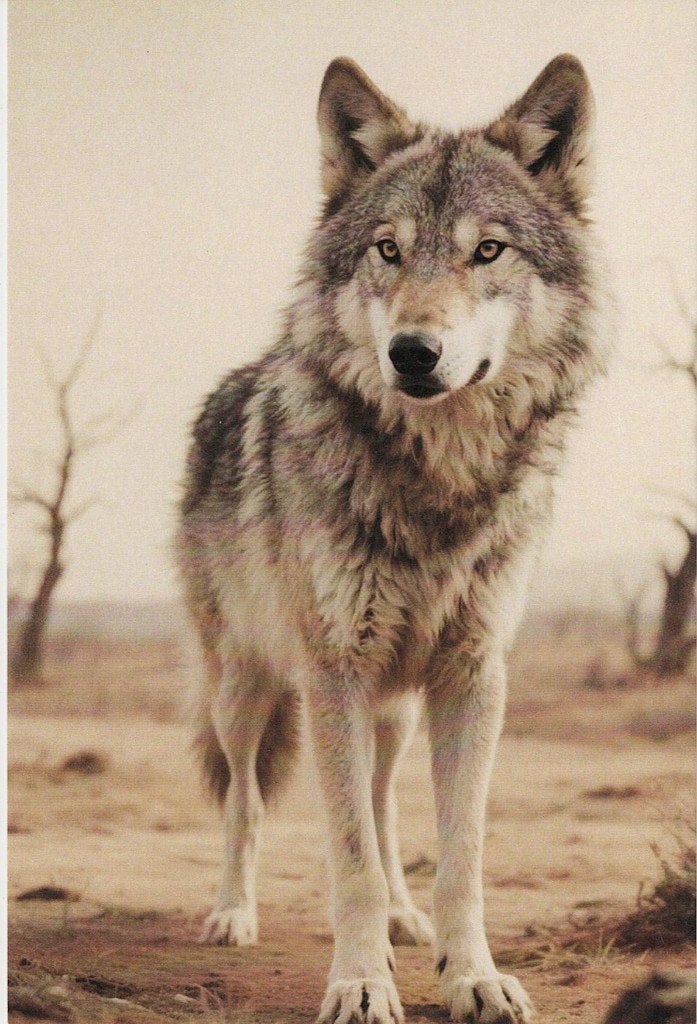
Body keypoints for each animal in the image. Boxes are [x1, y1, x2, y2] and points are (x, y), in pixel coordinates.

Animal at [176, 54, 609, 1024]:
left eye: (487, 250)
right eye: (386, 249)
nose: (413, 352)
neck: (436, 485)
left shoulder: (473, 674)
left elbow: (457, 853)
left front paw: (470, 973)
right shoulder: (332, 670)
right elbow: (346, 859)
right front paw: (360, 982)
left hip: (396, 711)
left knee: (382, 810)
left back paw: (408, 924)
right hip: (248, 687)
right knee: (246, 803)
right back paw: (229, 915)